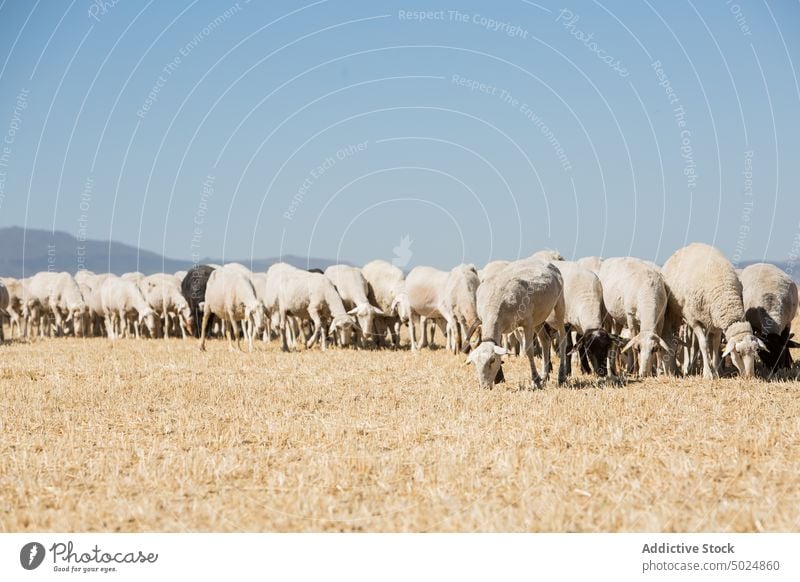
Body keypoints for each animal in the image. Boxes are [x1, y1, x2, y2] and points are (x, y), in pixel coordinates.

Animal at [462, 262, 568, 390]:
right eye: (474, 364)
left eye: (492, 360)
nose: (484, 387)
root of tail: (549, 263)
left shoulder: (527, 322)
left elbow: (528, 350)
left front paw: (535, 381)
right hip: (538, 317)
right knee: (545, 341)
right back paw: (545, 375)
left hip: (559, 305)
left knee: (562, 338)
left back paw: (561, 376)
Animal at [660, 244, 764, 380]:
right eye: (738, 352)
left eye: (756, 350)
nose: (750, 376)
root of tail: (690, 245)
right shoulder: (694, 321)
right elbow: (703, 345)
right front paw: (708, 374)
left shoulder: (717, 322)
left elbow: (715, 345)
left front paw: (716, 371)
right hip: (678, 313)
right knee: (688, 341)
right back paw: (687, 367)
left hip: (707, 318)